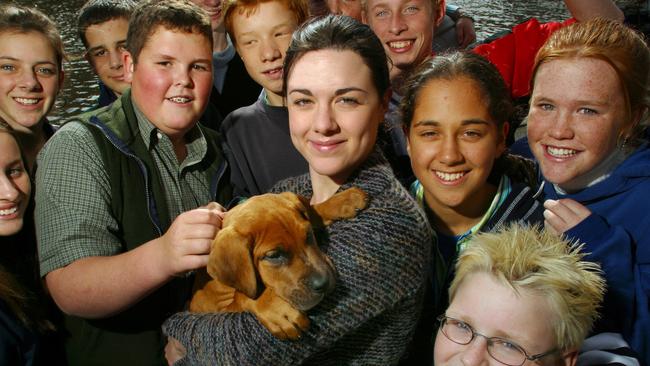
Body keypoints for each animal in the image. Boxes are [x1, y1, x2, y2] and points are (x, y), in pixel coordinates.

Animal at [190, 187, 368, 338]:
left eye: (308, 234)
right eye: (274, 255)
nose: (324, 283)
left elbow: (313, 211)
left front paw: (343, 200)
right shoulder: (221, 308)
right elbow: (243, 296)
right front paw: (275, 308)